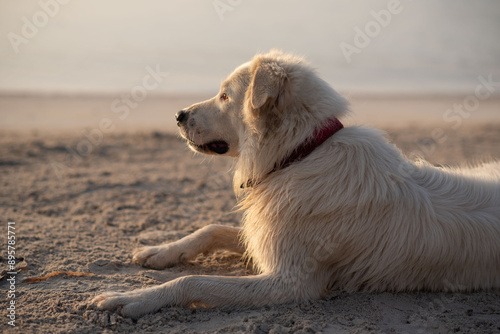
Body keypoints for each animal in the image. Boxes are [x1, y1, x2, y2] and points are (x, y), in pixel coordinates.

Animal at [93, 49, 500, 318]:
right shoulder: (264, 232)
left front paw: (132, 299)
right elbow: (211, 229)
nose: (178, 115)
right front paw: (159, 251)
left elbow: (194, 281)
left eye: (225, 96)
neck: (299, 154)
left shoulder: (289, 282)